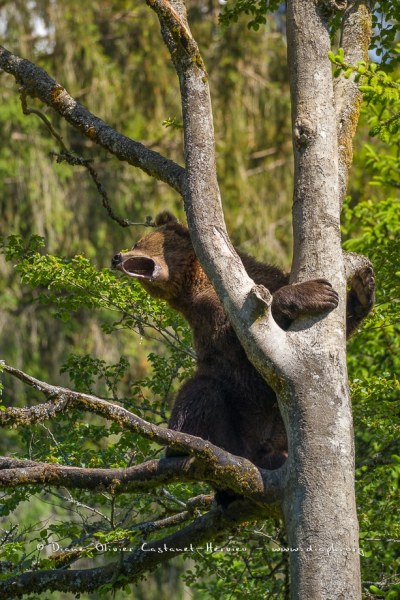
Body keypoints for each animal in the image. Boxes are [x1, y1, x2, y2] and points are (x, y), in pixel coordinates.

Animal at [111, 213, 376, 476]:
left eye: (137, 242)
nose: (116, 257)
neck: (198, 278)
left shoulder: (262, 274)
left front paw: (364, 288)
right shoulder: (207, 311)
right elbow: (238, 340)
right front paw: (311, 292)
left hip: (276, 430)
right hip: (232, 429)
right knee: (200, 390)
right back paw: (180, 448)